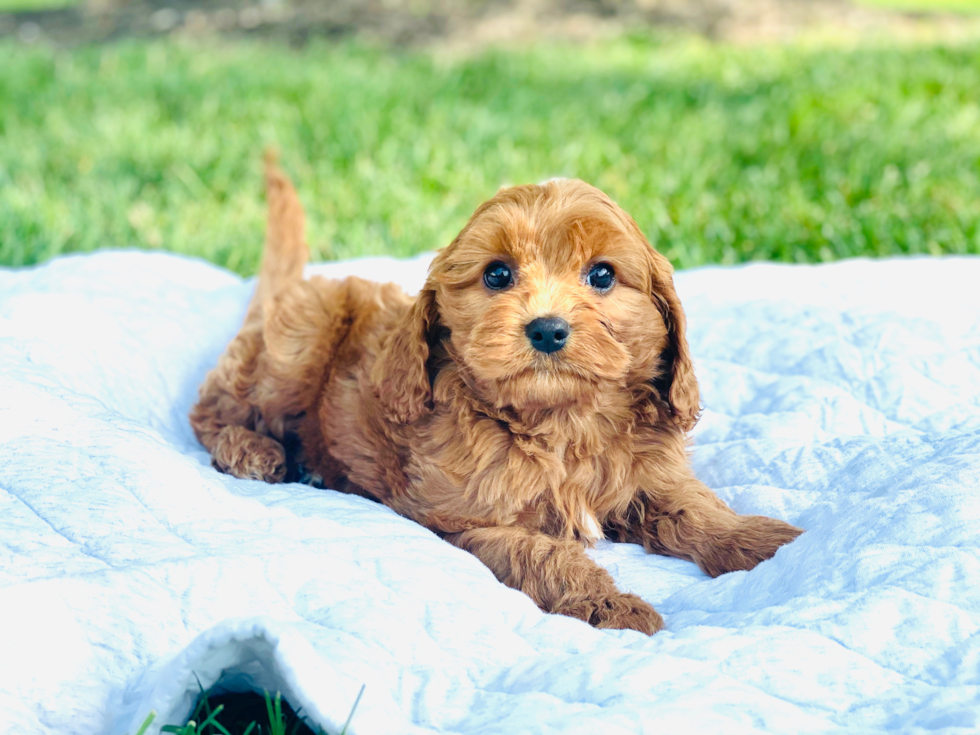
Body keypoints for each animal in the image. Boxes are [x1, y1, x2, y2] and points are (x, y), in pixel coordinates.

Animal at [191, 158, 804, 636]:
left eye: (603, 275)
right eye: (497, 274)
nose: (547, 329)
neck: (563, 425)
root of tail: (293, 291)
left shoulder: (648, 478)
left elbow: (695, 508)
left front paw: (764, 541)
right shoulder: (464, 521)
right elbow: (543, 554)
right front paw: (609, 602)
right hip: (296, 348)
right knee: (211, 408)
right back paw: (254, 452)